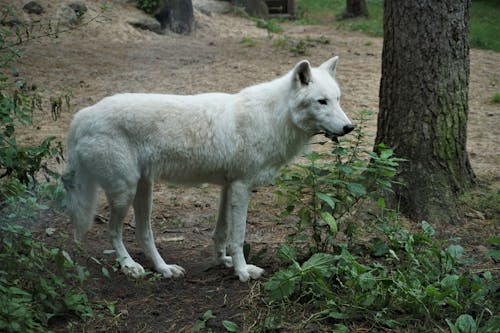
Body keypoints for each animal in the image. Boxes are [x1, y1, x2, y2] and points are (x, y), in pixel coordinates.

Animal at [62, 56, 354, 280]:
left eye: (338, 99)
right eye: (322, 101)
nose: (349, 127)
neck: (272, 117)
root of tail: (81, 116)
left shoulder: (228, 187)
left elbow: (221, 233)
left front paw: (223, 261)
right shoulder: (242, 187)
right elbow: (238, 236)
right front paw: (242, 271)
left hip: (144, 189)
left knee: (144, 234)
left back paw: (164, 269)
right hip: (125, 192)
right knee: (113, 232)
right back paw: (129, 266)